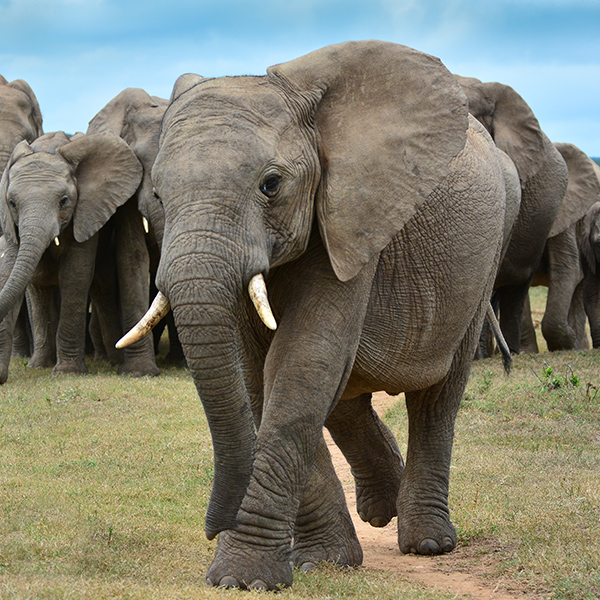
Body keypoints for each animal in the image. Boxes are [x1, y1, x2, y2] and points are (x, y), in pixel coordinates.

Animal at [0, 132, 142, 384]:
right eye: (12, 203)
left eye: (64, 200)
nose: (3, 377)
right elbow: (22, 278)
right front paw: (37, 367)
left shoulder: (86, 212)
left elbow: (75, 275)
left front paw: (67, 371)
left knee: (102, 287)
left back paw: (113, 362)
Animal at [118, 42, 510, 592]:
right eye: (156, 195)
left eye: (271, 185)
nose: (213, 526)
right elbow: (262, 375)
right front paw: (323, 563)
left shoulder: (352, 218)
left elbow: (302, 362)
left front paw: (241, 578)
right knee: (346, 394)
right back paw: (381, 508)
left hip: (490, 252)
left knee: (437, 397)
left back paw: (428, 542)